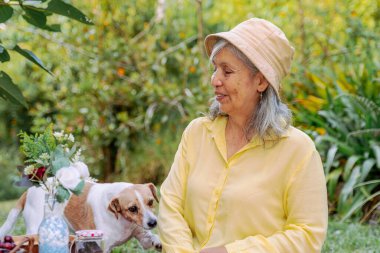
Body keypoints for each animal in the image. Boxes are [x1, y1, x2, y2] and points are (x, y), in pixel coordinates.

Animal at [0, 181, 162, 252]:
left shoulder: (141, 236)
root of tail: (30, 190)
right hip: (35, 230)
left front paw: (157, 241)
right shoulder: (103, 247)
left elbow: (150, 238)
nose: (154, 222)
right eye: (132, 208)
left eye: (150, 202)